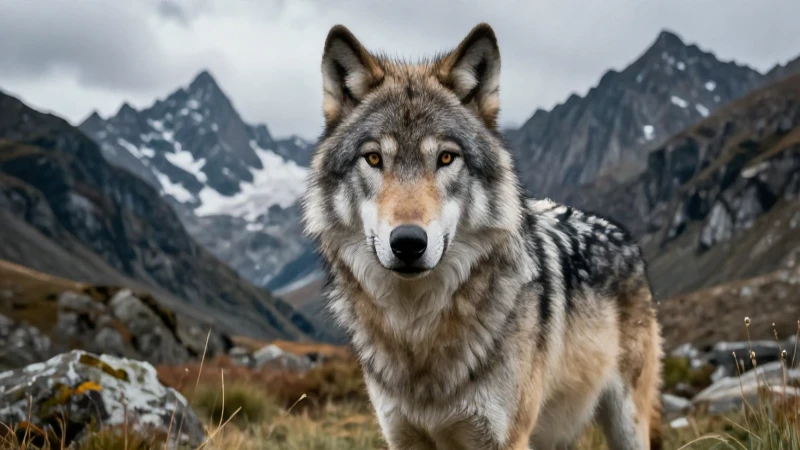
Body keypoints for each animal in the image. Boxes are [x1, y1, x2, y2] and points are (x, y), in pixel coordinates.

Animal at [302, 22, 663, 450]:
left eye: (445, 158)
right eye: (374, 158)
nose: (408, 242)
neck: (418, 329)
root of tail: (622, 234)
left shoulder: (504, 437)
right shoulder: (402, 437)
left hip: (626, 423)